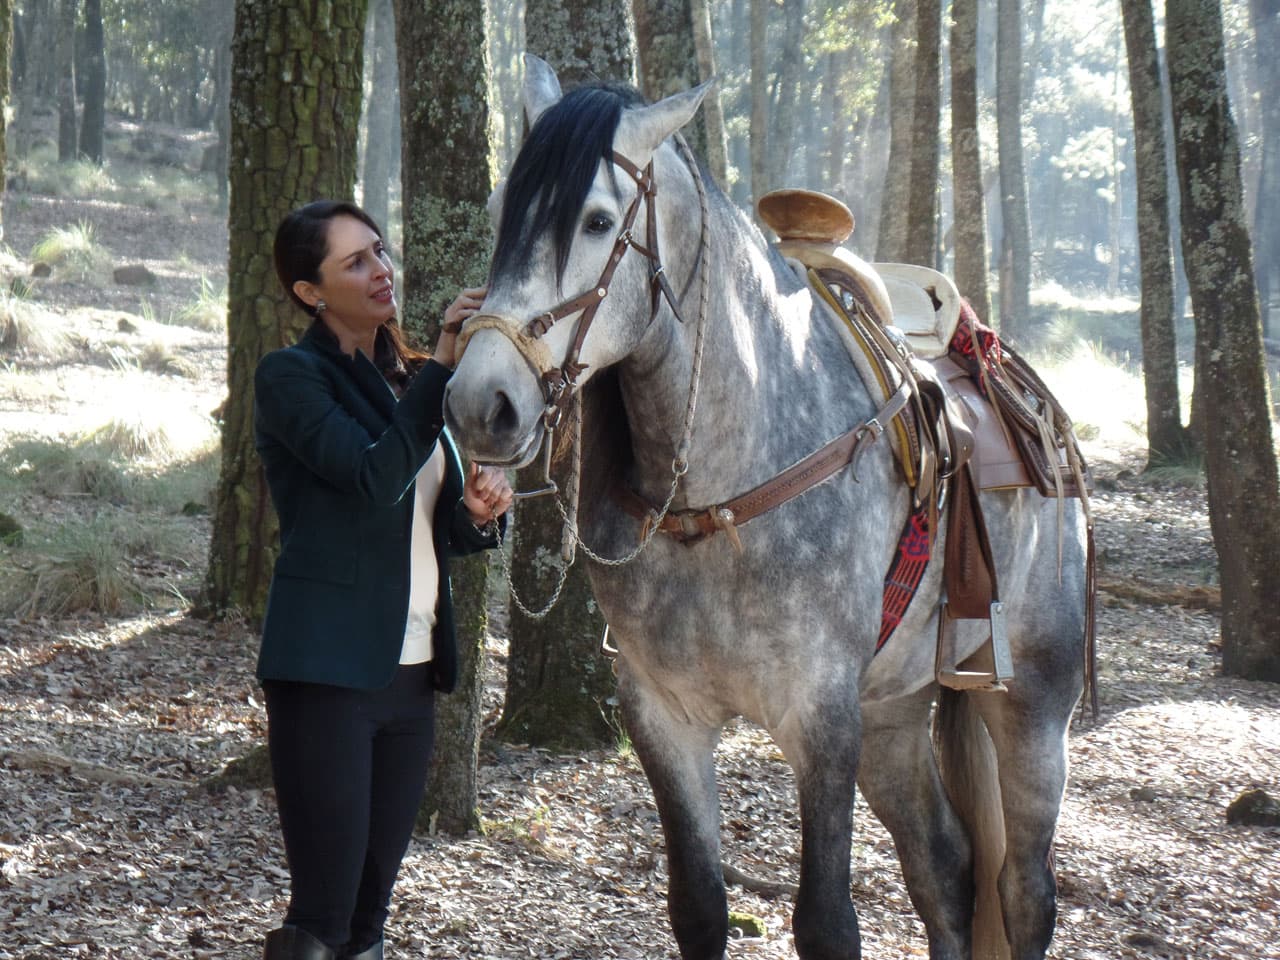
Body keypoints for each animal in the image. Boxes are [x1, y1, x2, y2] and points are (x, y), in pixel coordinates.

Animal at [443, 55, 1088, 960]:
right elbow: (699, 906)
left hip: (1031, 698)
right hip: (893, 715)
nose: (480, 403)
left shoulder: (820, 718)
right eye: (507, 214)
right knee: (946, 872)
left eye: (599, 221)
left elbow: (826, 924)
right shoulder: (665, 715)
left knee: (1026, 893)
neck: (722, 500)